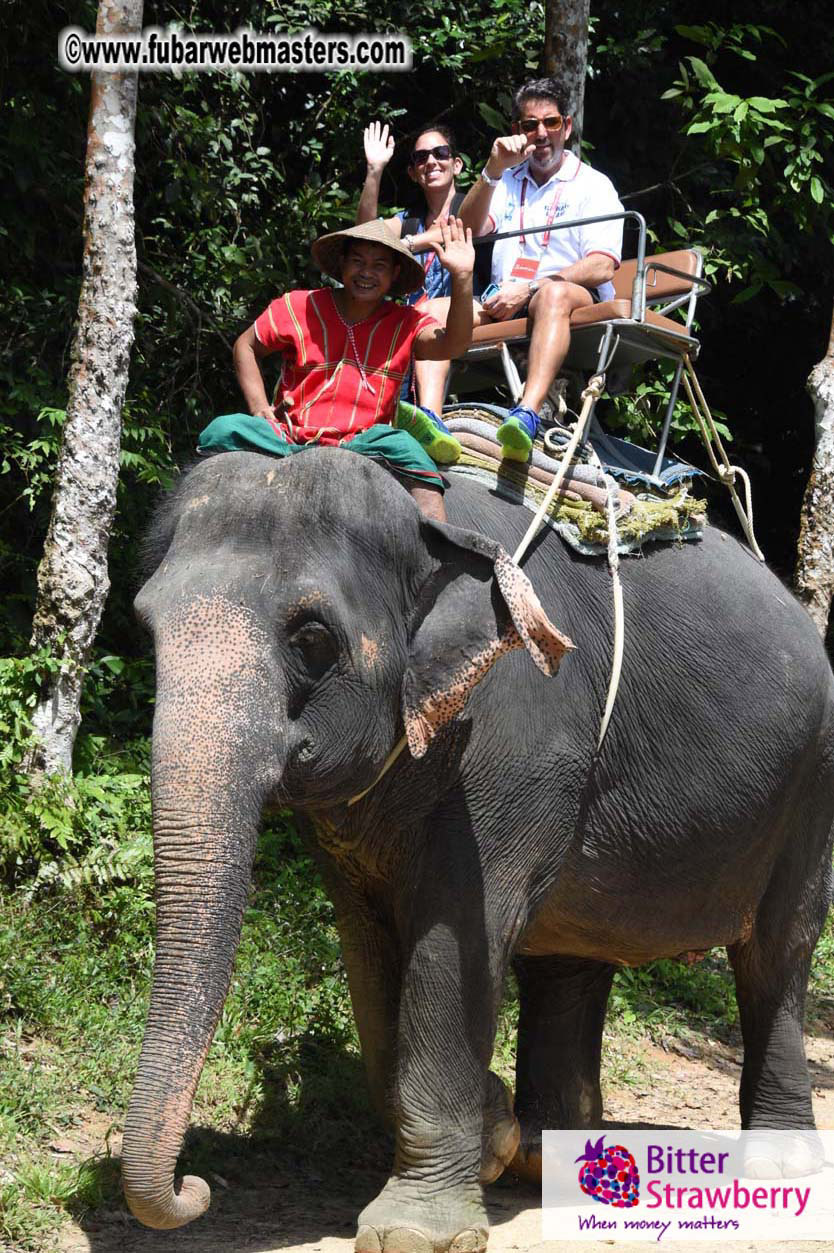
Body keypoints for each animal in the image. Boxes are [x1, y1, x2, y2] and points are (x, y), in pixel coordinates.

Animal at [122, 446, 834, 1251]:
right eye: (147, 627)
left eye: (311, 638)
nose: (196, 1187)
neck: (426, 522)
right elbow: (369, 951)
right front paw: (495, 1136)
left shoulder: (518, 741)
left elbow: (458, 935)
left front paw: (414, 1230)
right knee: (569, 959)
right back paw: (550, 1158)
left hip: (811, 782)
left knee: (777, 953)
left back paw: (777, 1163)